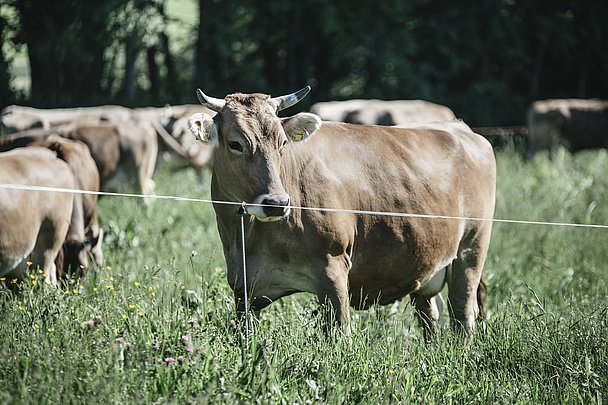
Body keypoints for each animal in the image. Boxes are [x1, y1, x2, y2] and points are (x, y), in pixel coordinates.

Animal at [188, 87, 496, 340]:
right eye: (235, 144)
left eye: (282, 143)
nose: (276, 202)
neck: (252, 234)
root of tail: (458, 127)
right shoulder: (245, 291)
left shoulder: (333, 272)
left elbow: (340, 336)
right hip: (427, 262)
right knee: (430, 316)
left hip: (471, 250)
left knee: (462, 315)